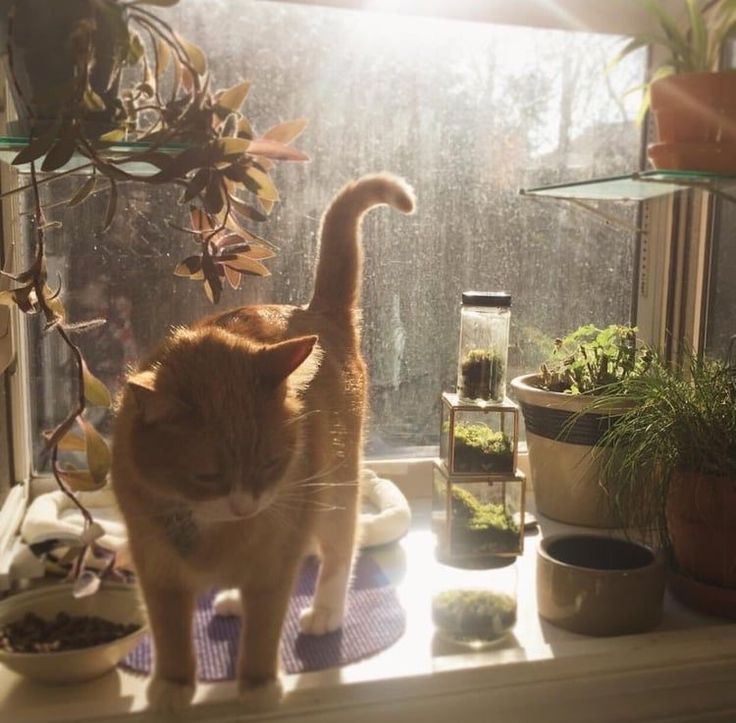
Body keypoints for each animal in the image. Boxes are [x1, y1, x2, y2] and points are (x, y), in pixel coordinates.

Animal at [110, 173, 414, 708]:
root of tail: (317, 311)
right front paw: (172, 688)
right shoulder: (158, 571)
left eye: (272, 463)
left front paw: (256, 689)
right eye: (207, 475)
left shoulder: (275, 558)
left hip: (336, 491)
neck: (213, 531)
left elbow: (264, 628)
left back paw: (325, 611)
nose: (245, 503)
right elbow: (170, 634)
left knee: (339, 550)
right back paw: (232, 597)